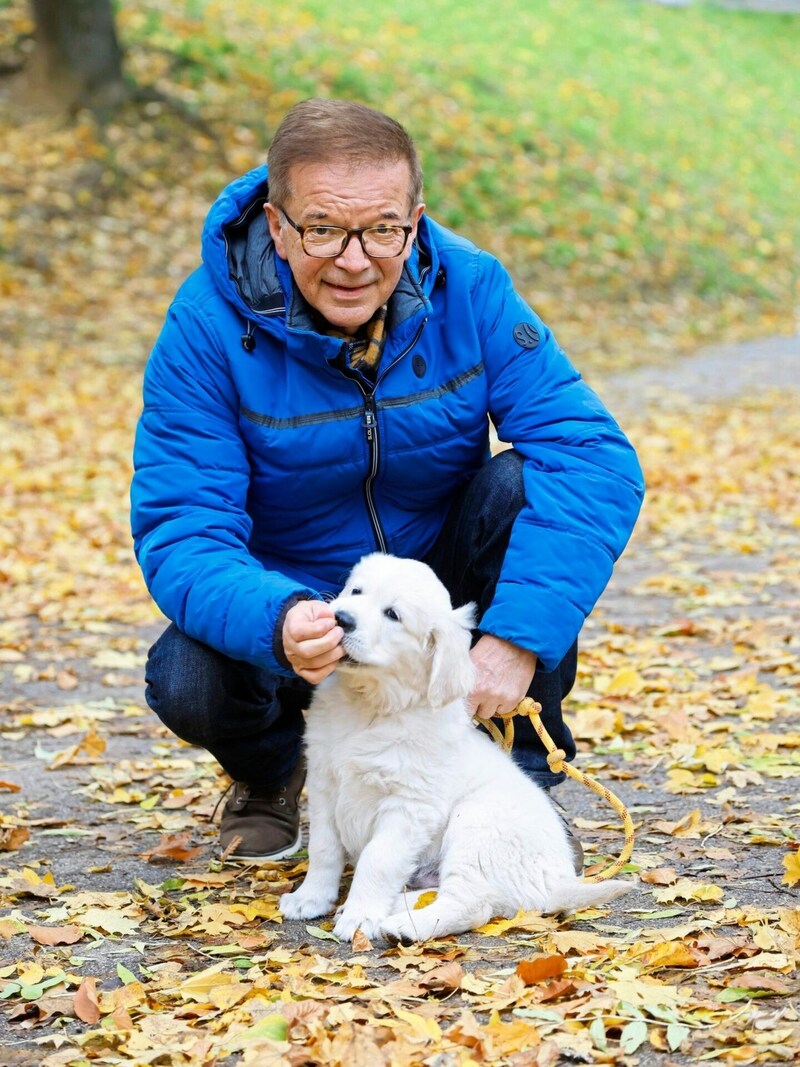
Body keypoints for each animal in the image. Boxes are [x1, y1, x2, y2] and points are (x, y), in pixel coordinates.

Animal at [279, 554, 631, 938]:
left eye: (392, 614)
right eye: (356, 591)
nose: (340, 618)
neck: (369, 706)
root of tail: (560, 881)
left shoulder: (409, 806)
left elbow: (378, 859)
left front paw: (360, 918)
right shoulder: (325, 784)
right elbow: (324, 848)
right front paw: (310, 898)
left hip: (477, 826)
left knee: (471, 904)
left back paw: (405, 925)